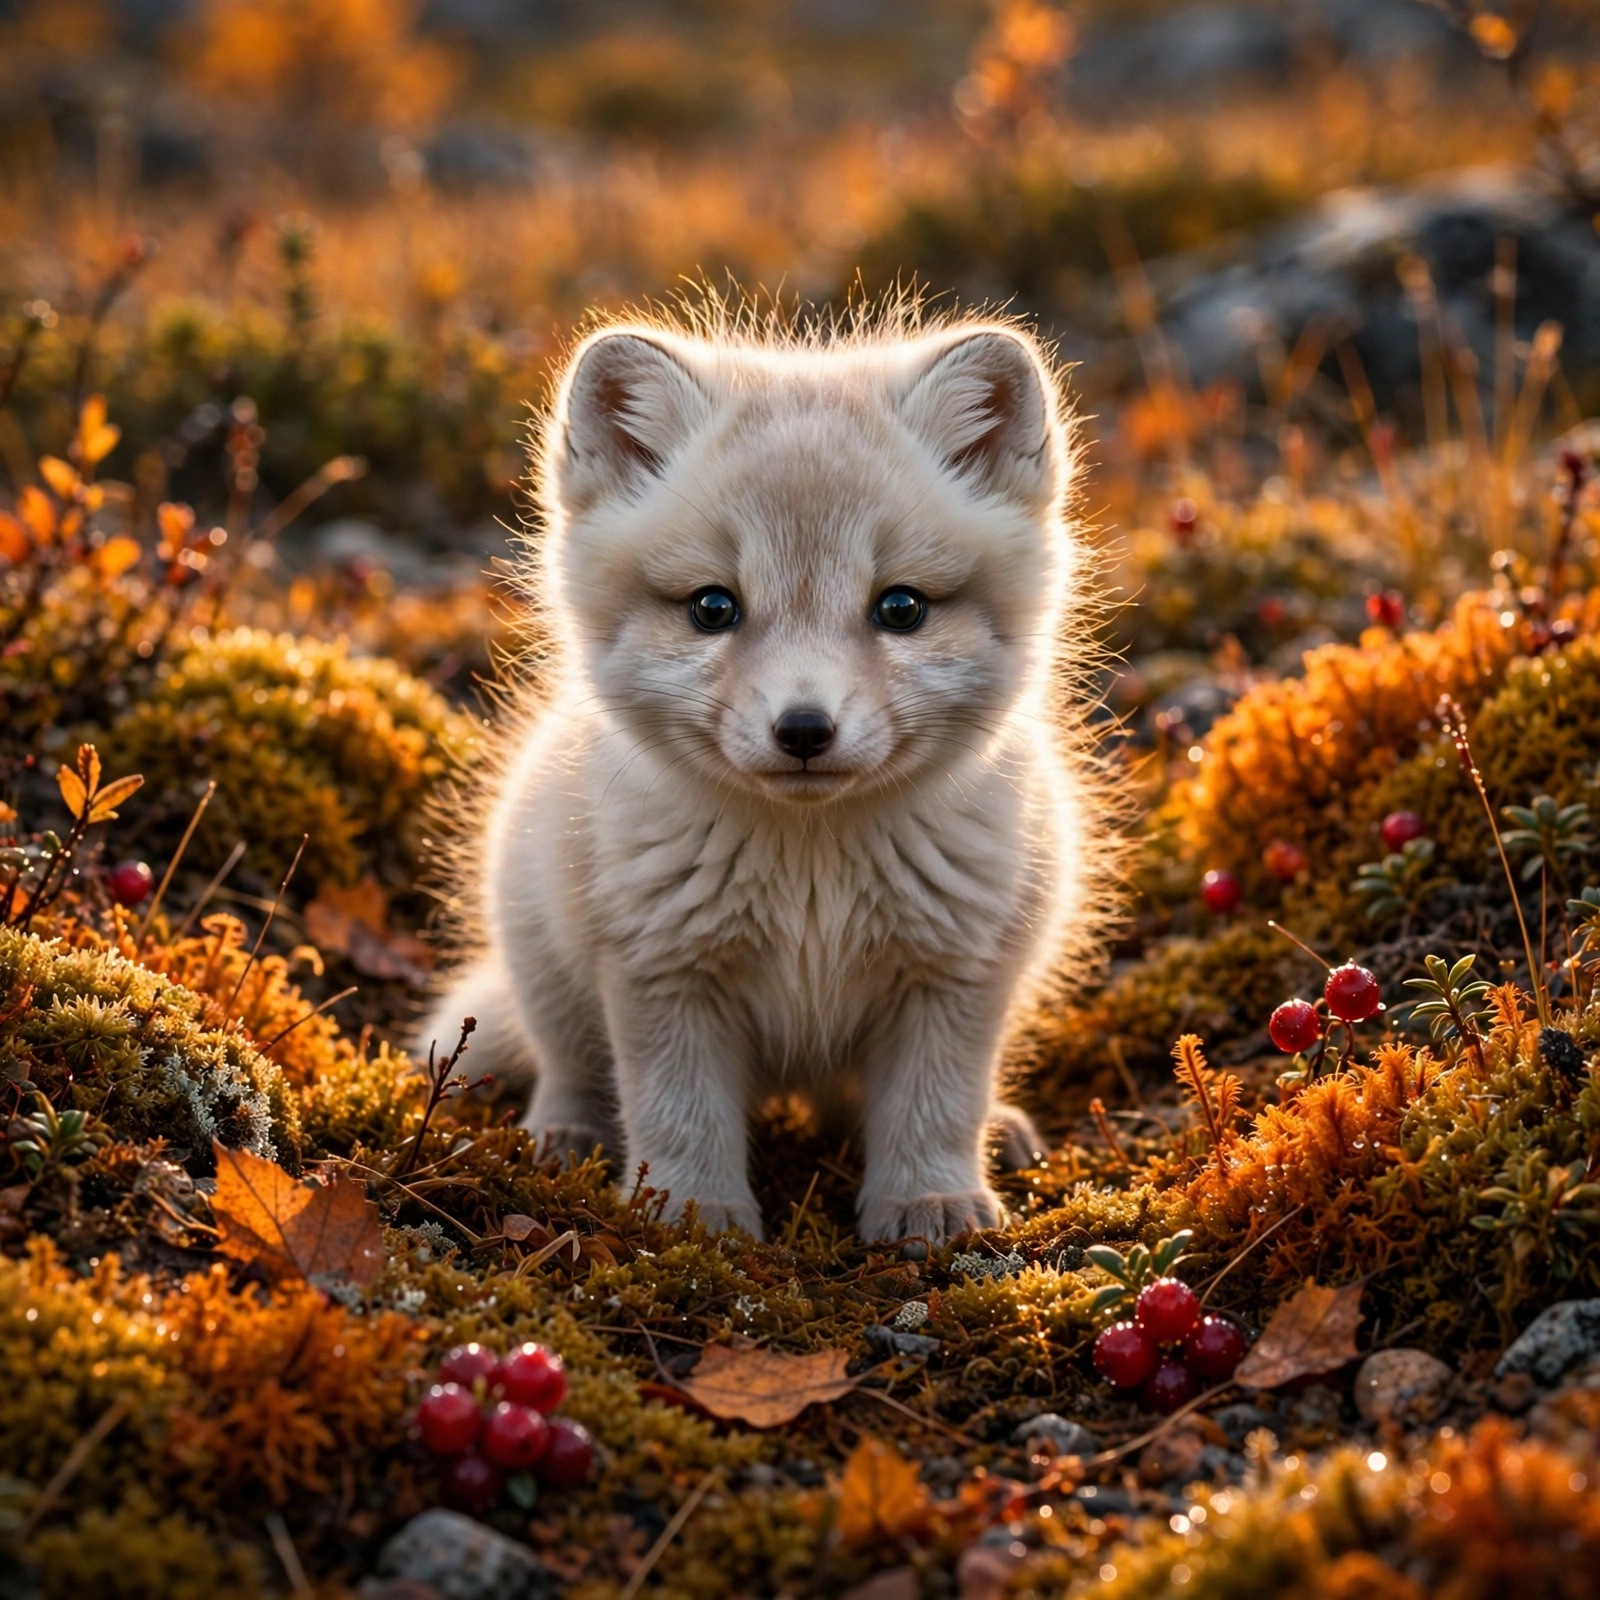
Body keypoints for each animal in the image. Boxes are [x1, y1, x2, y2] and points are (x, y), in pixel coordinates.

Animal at [419, 309, 1117, 1243]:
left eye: (901, 608)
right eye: (714, 607)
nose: (805, 729)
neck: (810, 885)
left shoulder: (954, 976)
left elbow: (935, 1109)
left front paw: (928, 1202)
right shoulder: (662, 974)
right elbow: (678, 1117)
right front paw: (689, 1216)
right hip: (546, 960)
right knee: (568, 1067)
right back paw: (564, 1135)